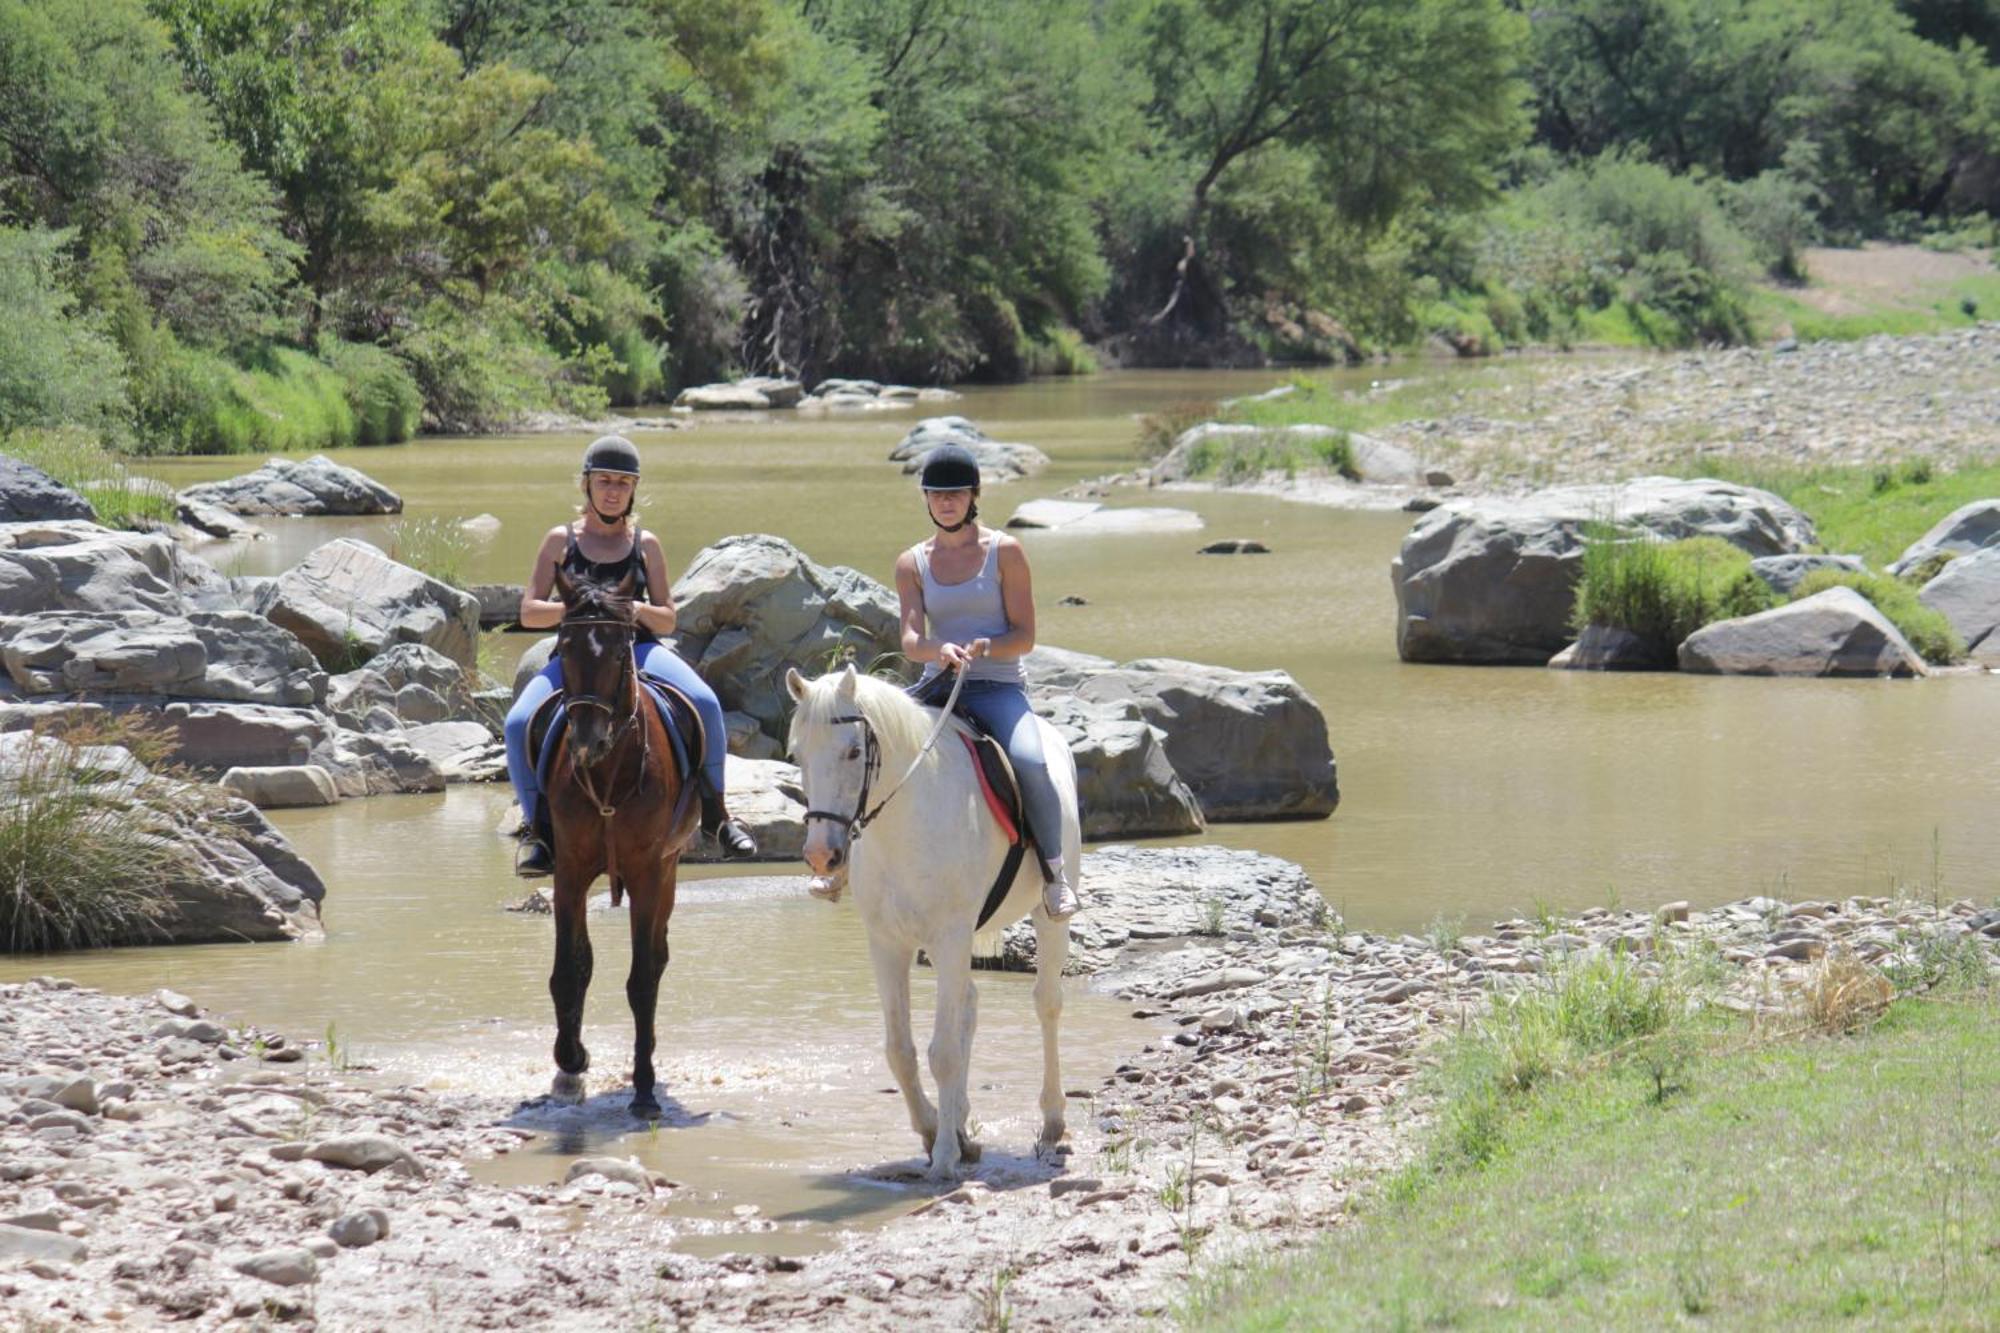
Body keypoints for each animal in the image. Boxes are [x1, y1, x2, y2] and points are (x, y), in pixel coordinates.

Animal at [548, 560, 704, 1112]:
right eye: (564, 647)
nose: (587, 740)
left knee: (656, 962)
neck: (609, 775)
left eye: (619, 651)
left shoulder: (647, 873)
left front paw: (643, 1089)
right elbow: (570, 969)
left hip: (669, 872)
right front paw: (571, 1062)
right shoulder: (569, 871)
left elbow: (642, 979)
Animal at [784, 664, 1080, 1176]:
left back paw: (1051, 1124)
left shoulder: (950, 935)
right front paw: (934, 1131)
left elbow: (941, 1052)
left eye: (854, 751)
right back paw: (960, 1121)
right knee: (968, 1006)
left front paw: (943, 1157)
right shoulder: (887, 943)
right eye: (798, 753)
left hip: (1045, 918)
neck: (905, 821)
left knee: (1047, 1004)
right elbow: (900, 1050)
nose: (822, 856)